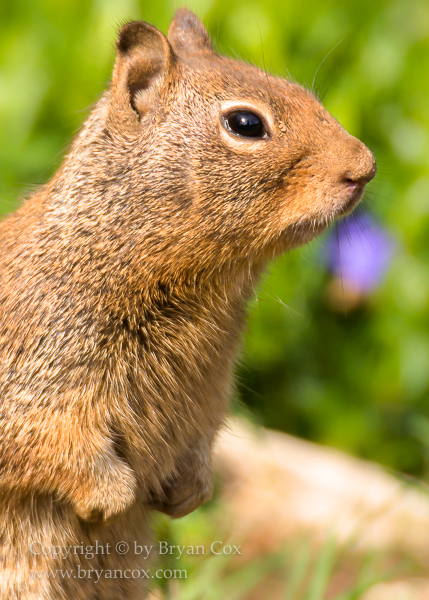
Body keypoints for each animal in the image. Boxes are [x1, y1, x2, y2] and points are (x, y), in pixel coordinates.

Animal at [0, 7, 374, 596]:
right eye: (246, 124)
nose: (366, 165)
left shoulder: (210, 392)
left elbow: (200, 441)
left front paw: (188, 492)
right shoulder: (38, 387)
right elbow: (52, 449)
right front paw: (114, 496)